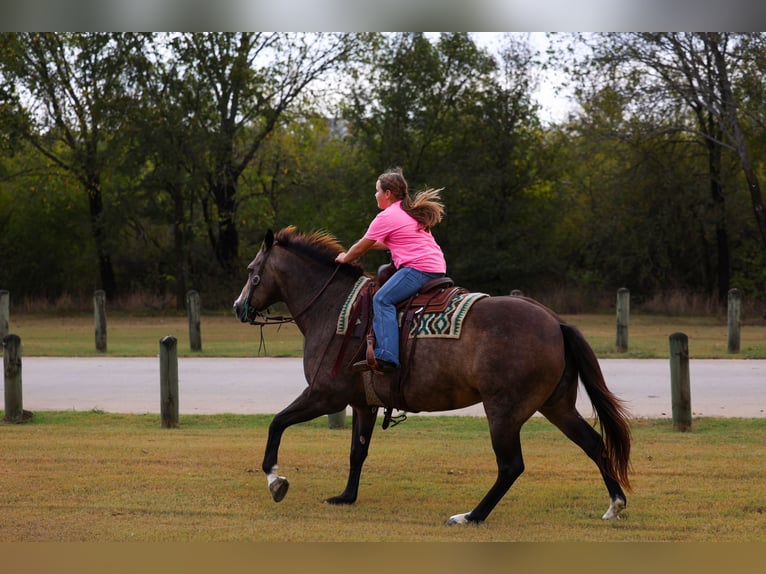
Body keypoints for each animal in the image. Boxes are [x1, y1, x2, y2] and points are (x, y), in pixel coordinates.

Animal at [233, 226, 632, 525]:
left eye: (253, 272)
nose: (238, 307)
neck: (335, 309)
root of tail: (554, 321)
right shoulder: (363, 403)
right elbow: (357, 452)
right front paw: (346, 496)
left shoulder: (324, 394)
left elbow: (277, 423)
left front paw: (275, 480)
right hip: (557, 405)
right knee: (594, 444)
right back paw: (615, 504)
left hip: (504, 412)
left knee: (510, 466)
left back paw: (471, 516)